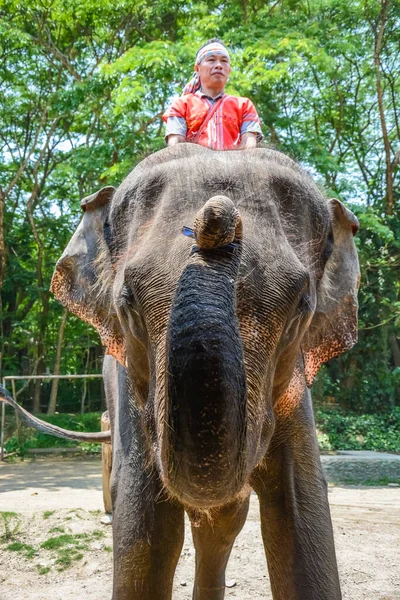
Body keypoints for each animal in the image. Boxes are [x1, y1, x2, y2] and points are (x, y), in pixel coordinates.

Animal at [1, 145, 360, 600]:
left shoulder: (295, 391)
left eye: (301, 307)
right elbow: (145, 522)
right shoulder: (130, 387)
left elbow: (302, 514)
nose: (219, 216)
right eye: (128, 303)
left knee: (225, 516)